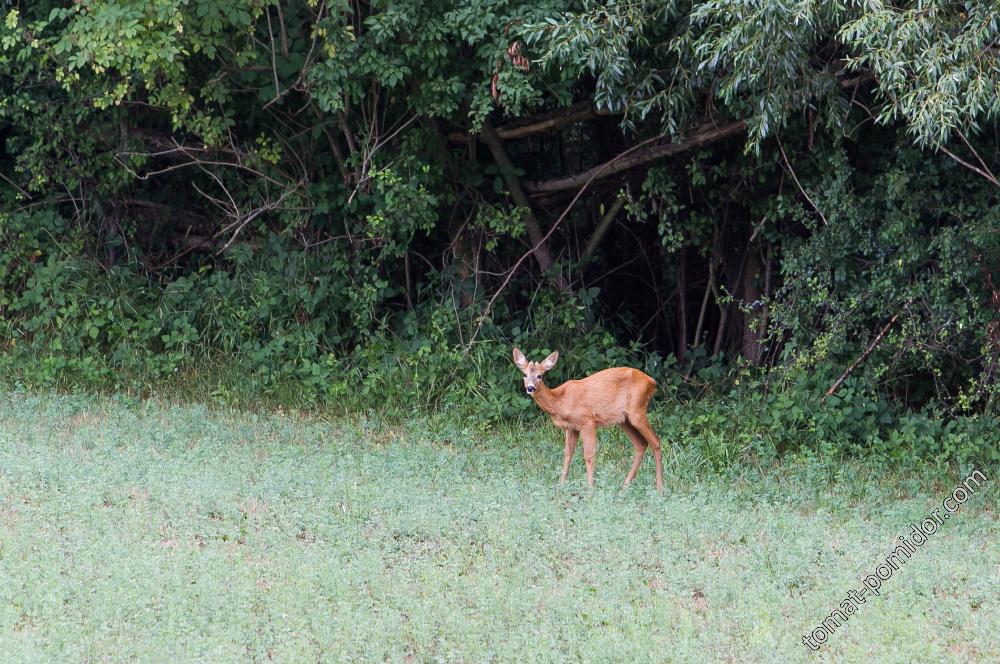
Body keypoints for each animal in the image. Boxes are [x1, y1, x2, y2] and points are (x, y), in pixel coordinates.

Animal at [516, 348, 664, 492]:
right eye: (524, 374)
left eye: (539, 376)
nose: (530, 388)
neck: (560, 401)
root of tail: (652, 382)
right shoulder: (571, 427)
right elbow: (568, 454)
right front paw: (561, 486)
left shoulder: (587, 421)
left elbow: (589, 455)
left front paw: (590, 490)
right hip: (624, 420)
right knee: (641, 444)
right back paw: (624, 487)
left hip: (637, 411)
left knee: (656, 441)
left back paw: (659, 489)